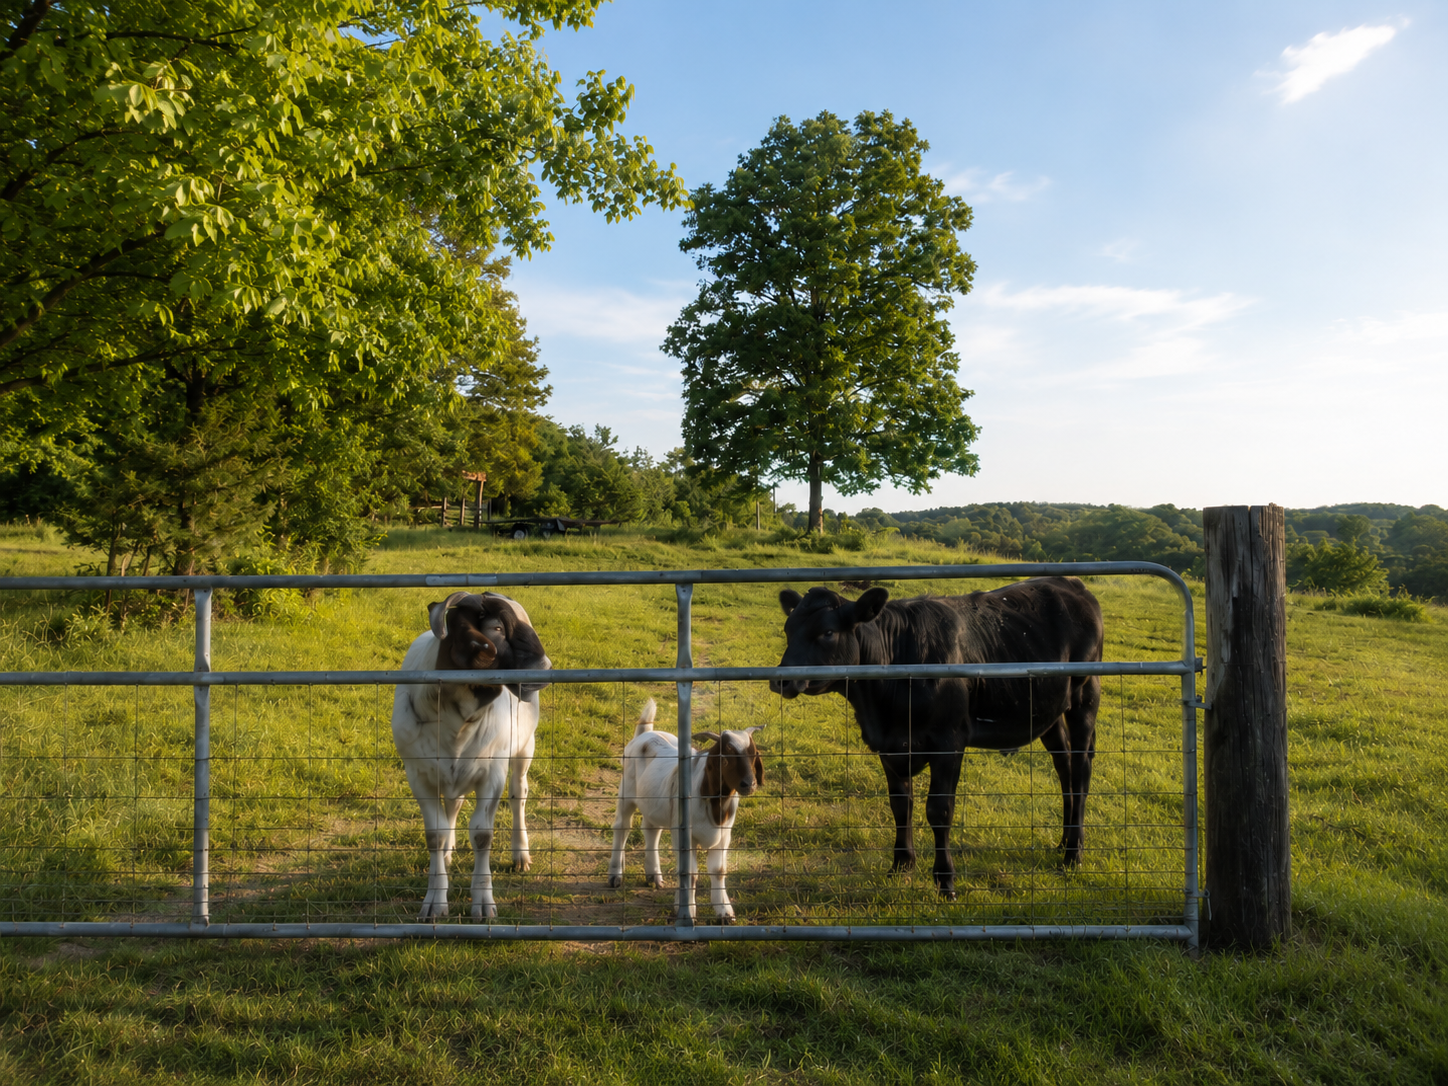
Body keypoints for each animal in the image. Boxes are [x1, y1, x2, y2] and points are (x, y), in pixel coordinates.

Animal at [391, 591, 550, 920]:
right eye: (497, 628)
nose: (546, 667)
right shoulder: (418, 775)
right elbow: (435, 834)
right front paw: (435, 901)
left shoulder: (492, 774)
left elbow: (482, 835)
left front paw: (483, 903)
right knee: (453, 804)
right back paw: (449, 852)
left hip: (524, 747)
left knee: (519, 794)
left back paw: (520, 853)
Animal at [606, 699, 764, 923]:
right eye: (725, 756)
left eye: (753, 755)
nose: (749, 784)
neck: (716, 805)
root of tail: (644, 734)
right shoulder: (685, 836)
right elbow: (689, 873)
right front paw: (687, 911)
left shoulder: (724, 835)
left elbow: (718, 870)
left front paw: (724, 912)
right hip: (626, 795)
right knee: (622, 828)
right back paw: (615, 876)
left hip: (655, 805)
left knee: (651, 830)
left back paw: (654, 875)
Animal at [770, 577, 1103, 898]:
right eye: (787, 629)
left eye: (827, 632)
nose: (780, 680)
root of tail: (1072, 583)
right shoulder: (890, 748)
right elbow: (900, 805)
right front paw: (901, 865)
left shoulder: (948, 742)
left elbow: (939, 811)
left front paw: (946, 881)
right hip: (1050, 711)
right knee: (1064, 769)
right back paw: (1063, 842)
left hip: (1085, 697)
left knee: (1081, 771)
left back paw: (1074, 854)